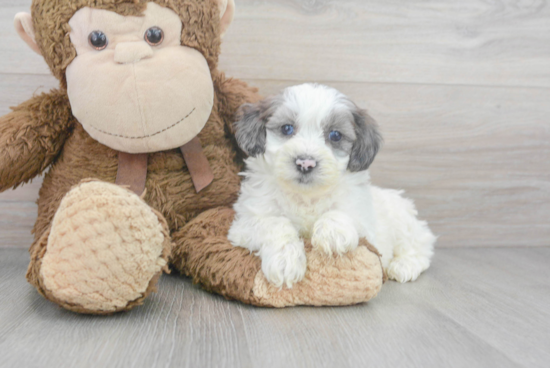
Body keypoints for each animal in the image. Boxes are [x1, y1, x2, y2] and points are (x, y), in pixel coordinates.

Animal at [229, 83, 436, 288]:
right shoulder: (245, 222)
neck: (306, 196)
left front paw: (333, 232)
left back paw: (405, 265)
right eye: (287, 128)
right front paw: (284, 260)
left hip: (403, 221)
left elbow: (343, 214)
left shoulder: (366, 225)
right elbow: (275, 223)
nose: (305, 163)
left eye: (335, 135)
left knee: (421, 244)